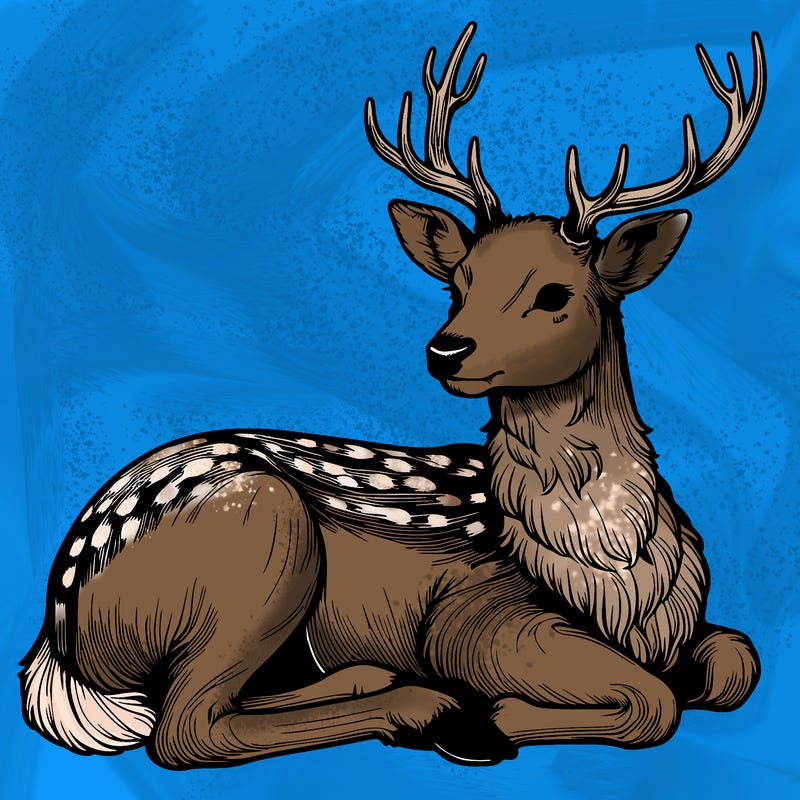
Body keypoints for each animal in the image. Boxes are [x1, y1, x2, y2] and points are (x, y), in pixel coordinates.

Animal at [20, 22, 764, 769]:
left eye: (555, 293)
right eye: (459, 283)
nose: (446, 349)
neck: (617, 580)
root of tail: (58, 637)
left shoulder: (693, 627)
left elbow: (737, 660)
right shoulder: (474, 614)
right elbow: (654, 701)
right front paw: (493, 717)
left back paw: (376, 679)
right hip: (262, 539)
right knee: (184, 727)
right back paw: (431, 710)